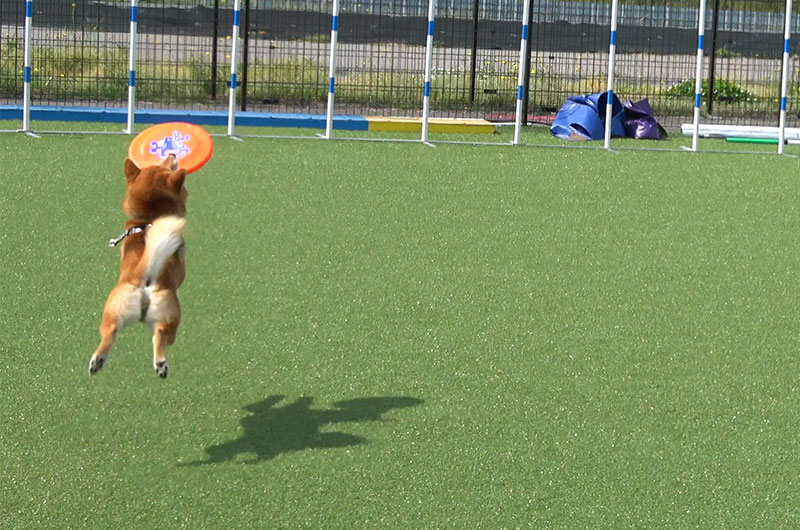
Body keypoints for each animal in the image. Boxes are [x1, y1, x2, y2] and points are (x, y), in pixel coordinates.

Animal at [88, 155, 188, 378]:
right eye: (164, 165)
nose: (172, 154)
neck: (149, 219)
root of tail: (144, 277)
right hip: (172, 318)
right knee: (160, 336)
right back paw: (161, 363)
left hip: (113, 311)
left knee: (109, 334)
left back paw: (98, 360)